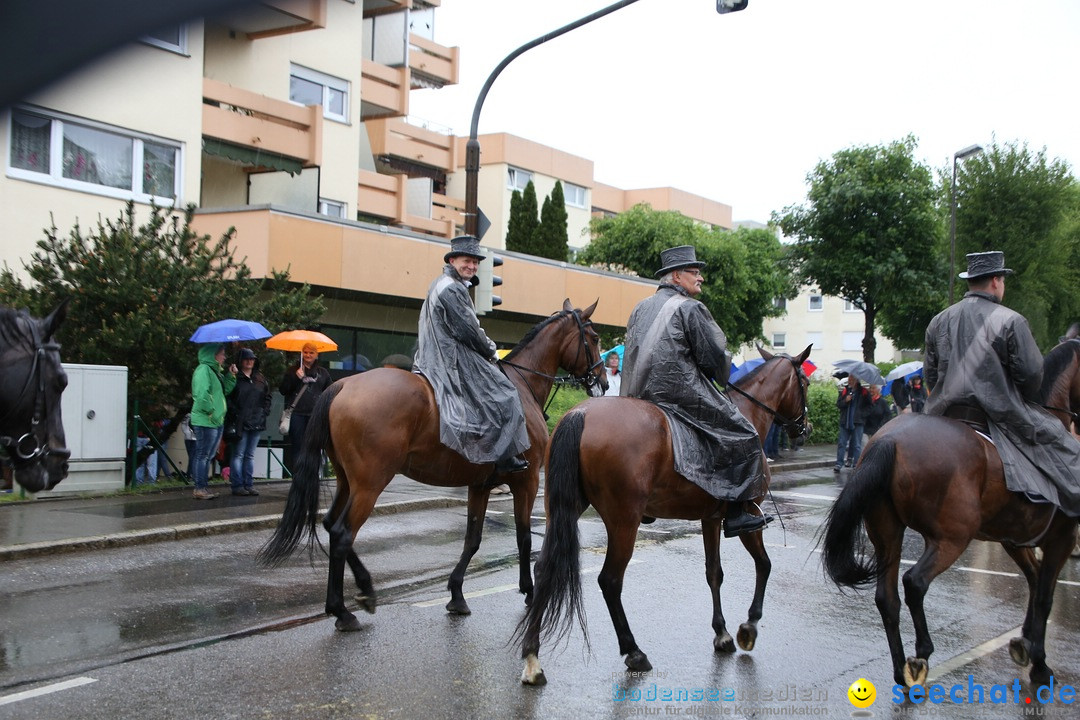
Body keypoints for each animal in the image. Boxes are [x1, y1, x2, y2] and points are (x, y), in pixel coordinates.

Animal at [254, 297, 609, 630]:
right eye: (594, 337)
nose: (603, 382)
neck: (522, 387)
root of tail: (342, 385)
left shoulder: (480, 486)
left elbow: (472, 540)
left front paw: (457, 594)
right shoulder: (527, 481)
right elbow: (523, 537)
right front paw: (530, 592)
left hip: (347, 481)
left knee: (330, 525)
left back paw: (341, 605)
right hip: (370, 485)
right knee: (342, 534)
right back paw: (355, 600)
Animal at [514, 345, 812, 686]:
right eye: (805, 382)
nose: (805, 428)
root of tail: (582, 413)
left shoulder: (710, 519)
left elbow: (714, 573)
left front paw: (721, 633)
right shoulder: (749, 518)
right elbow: (764, 565)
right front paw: (748, 627)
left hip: (562, 510)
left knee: (544, 569)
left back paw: (533, 657)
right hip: (624, 521)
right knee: (610, 580)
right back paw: (633, 651)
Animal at [816, 341, 1080, 690]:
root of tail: (888, 440)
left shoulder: (1014, 538)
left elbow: (1035, 581)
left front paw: (1026, 643)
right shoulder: (1061, 538)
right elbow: (1045, 595)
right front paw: (1039, 662)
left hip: (888, 534)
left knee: (888, 597)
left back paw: (901, 670)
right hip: (951, 538)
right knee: (915, 582)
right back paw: (921, 655)